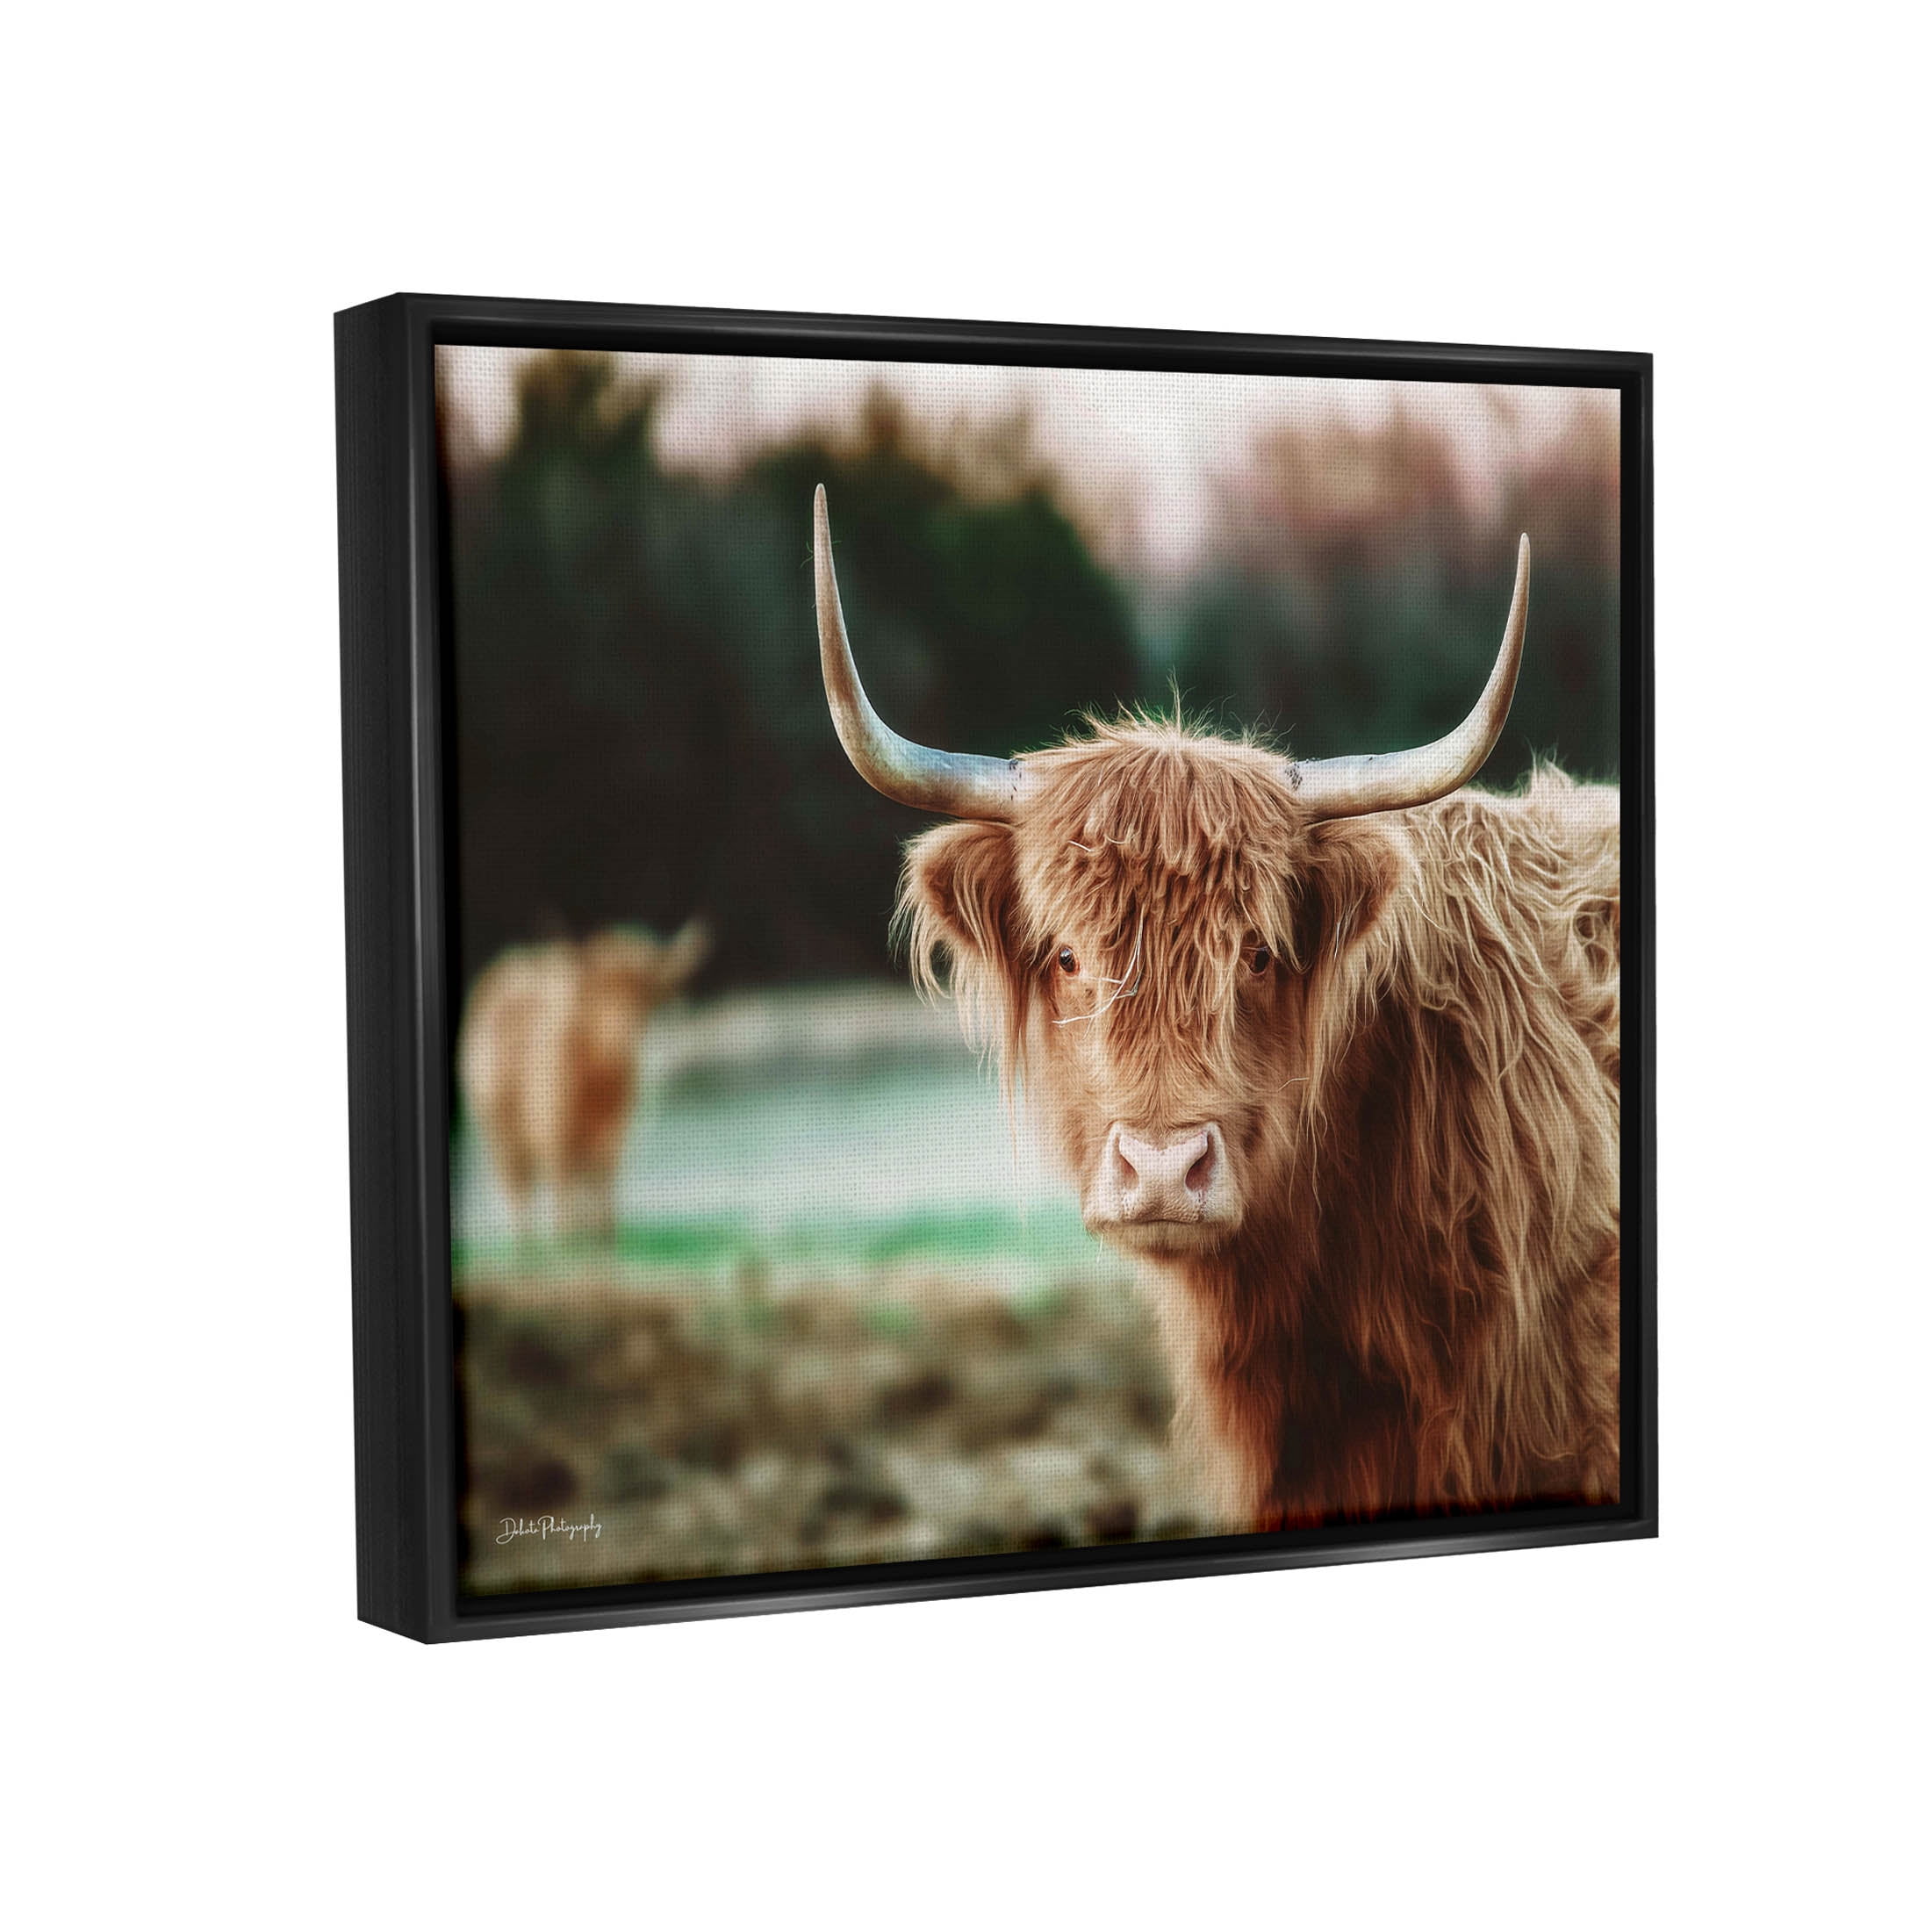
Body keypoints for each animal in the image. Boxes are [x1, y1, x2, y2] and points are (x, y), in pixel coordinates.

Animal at [458, 921, 711, 1241]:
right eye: (598, 996)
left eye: (643, 995)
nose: (621, 1037)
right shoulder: (555, 1138)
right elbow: (563, 1205)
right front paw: (566, 1240)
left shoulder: (610, 1142)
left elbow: (603, 1207)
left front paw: (600, 1237)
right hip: (502, 1135)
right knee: (521, 1197)